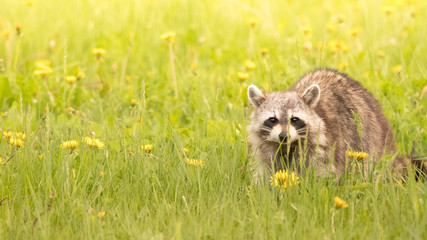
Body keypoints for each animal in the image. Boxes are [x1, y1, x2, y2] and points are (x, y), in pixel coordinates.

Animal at [247, 69, 398, 182]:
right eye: (273, 119)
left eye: (294, 119)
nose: (284, 136)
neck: (288, 146)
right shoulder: (267, 149)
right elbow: (268, 173)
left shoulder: (323, 146)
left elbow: (322, 175)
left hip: (368, 139)